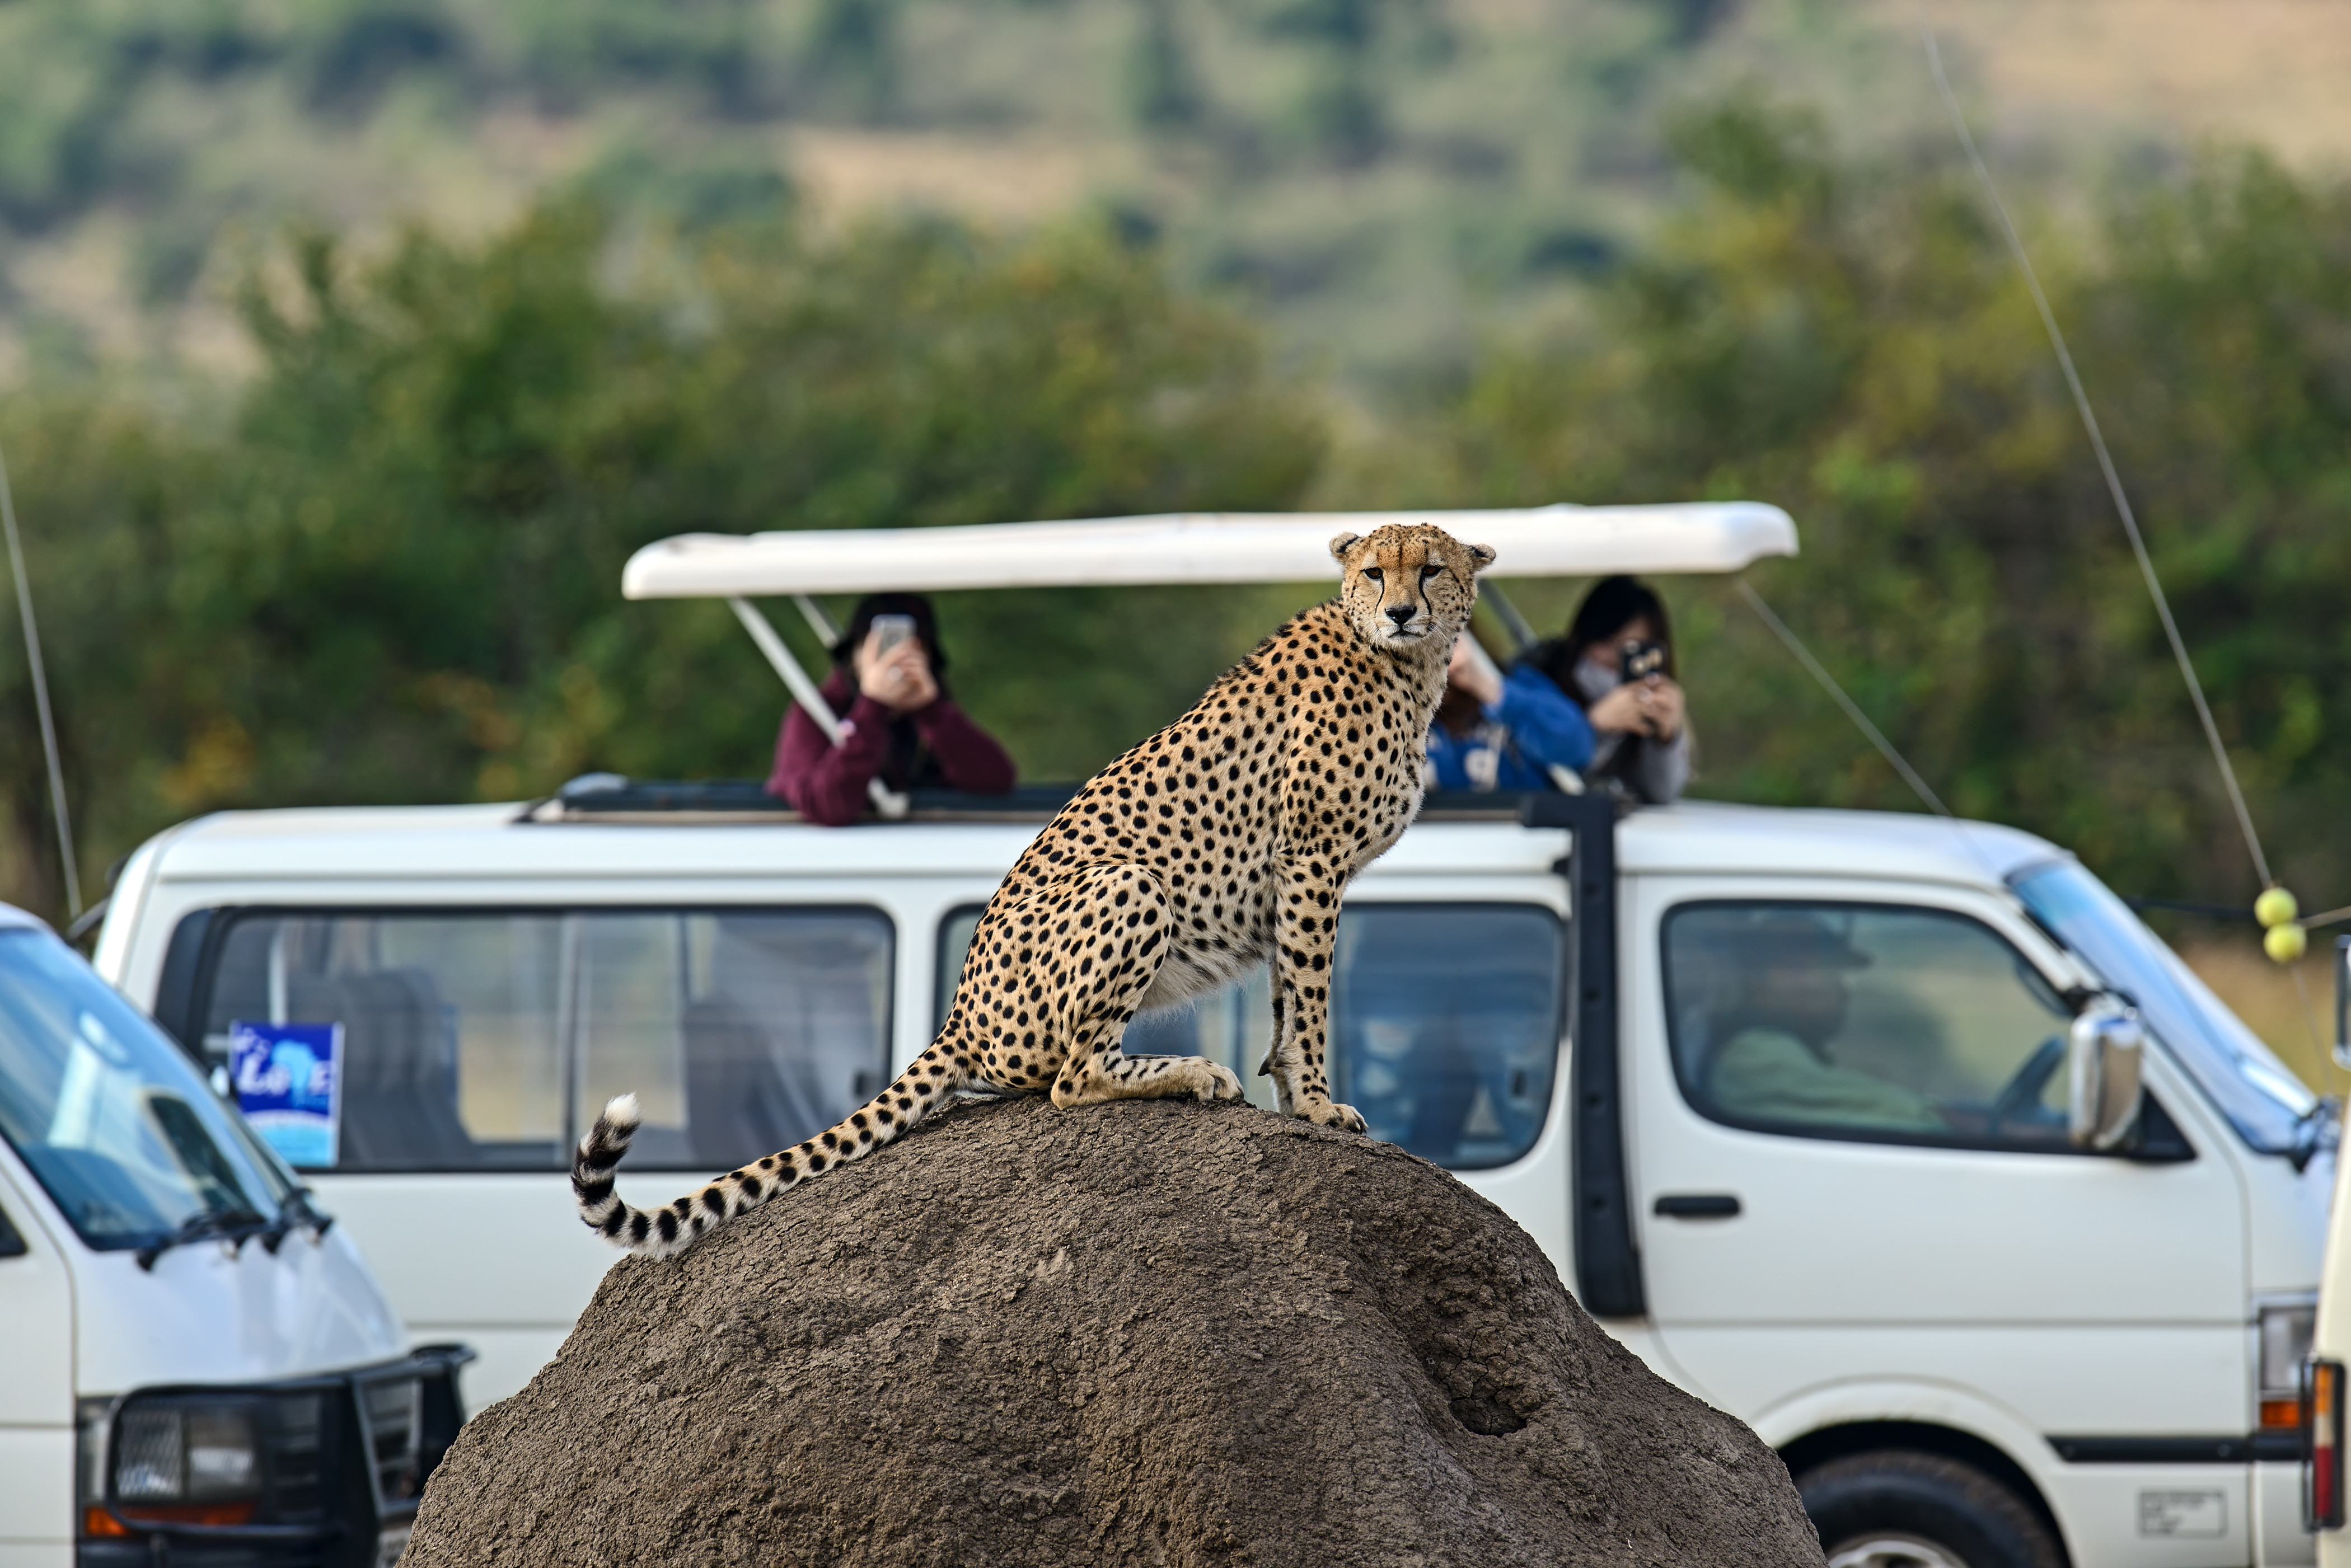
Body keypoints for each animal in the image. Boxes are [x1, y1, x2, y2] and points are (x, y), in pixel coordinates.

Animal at [583, 522, 1505, 1260]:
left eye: (1431, 570)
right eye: (1375, 573)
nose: (1401, 611)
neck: (1402, 665)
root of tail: (959, 1013)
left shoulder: (1298, 879)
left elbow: (1287, 1005)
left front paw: (1294, 1099)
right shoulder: (1311, 862)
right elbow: (1310, 1003)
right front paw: (1316, 1106)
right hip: (1132, 883)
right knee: (1069, 1078)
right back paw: (1192, 1073)